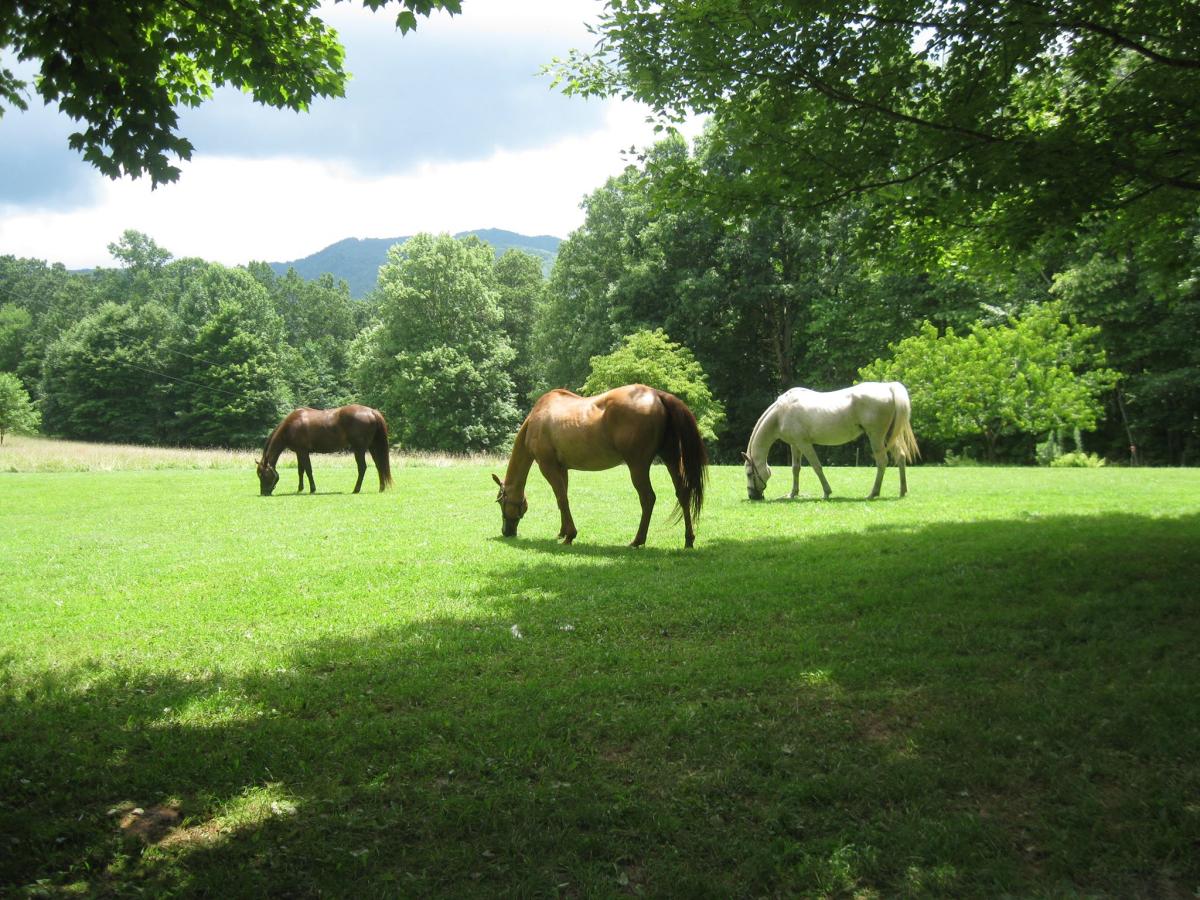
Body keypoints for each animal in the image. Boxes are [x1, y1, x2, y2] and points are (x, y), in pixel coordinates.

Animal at [256, 405, 393, 496]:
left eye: (262, 475)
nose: (264, 493)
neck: (291, 425)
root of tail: (372, 411)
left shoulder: (303, 451)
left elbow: (308, 470)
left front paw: (312, 489)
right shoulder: (299, 452)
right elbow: (300, 471)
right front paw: (300, 489)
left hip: (359, 449)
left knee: (362, 468)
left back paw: (356, 489)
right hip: (372, 447)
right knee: (379, 465)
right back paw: (381, 488)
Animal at [492, 384, 709, 548]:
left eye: (500, 501)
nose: (506, 531)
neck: (536, 420)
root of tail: (657, 395)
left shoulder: (548, 466)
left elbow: (562, 499)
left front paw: (570, 535)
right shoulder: (562, 468)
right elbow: (561, 498)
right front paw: (562, 532)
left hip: (637, 465)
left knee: (648, 498)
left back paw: (637, 540)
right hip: (671, 457)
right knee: (683, 493)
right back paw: (688, 540)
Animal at [742, 381, 918, 501]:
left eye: (749, 473)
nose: (752, 496)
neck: (781, 413)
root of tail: (888, 387)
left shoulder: (804, 444)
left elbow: (817, 467)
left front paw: (826, 492)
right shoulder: (795, 444)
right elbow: (795, 469)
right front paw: (793, 494)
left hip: (876, 437)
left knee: (882, 461)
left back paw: (873, 493)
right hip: (889, 437)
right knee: (900, 457)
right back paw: (902, 491)